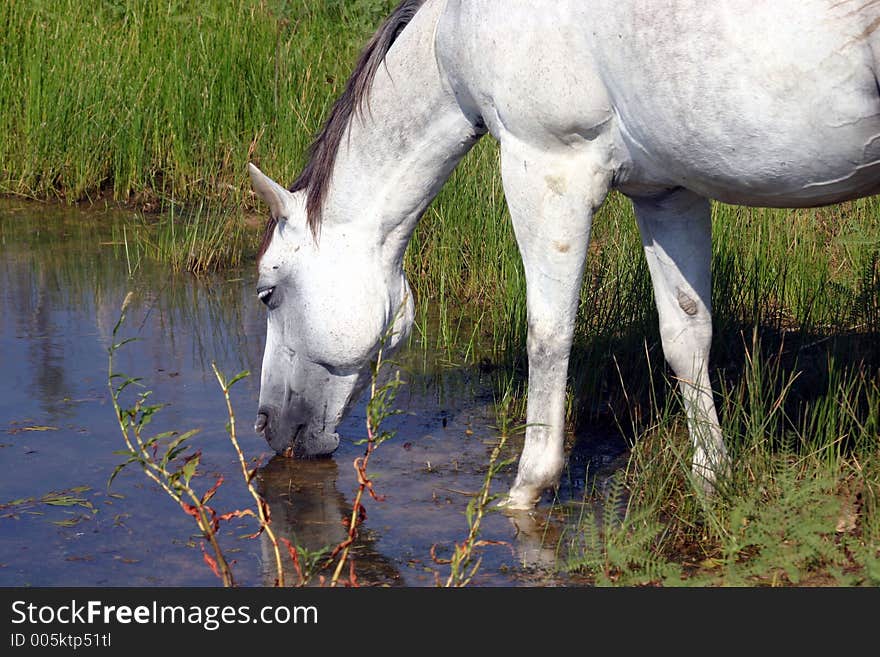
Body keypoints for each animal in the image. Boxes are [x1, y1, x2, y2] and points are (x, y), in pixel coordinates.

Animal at [246, 1, 880, 508]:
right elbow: (686, 335)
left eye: (268, 293)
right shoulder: (668, 193)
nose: (267, 425)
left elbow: (548, 337)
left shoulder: (546, 170)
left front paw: (527, 489)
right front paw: (712, 479)